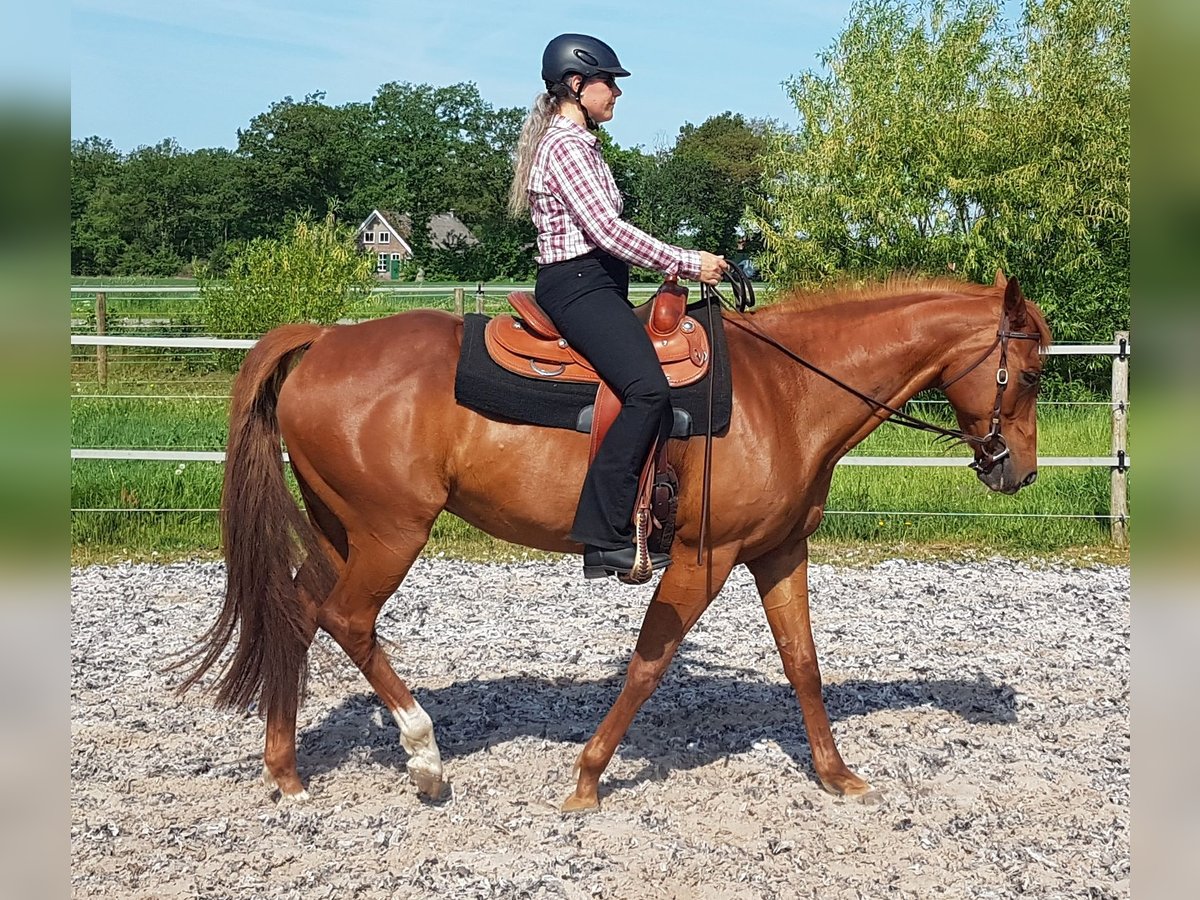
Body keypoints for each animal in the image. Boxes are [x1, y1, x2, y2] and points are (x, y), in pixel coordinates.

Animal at [177, 270, 1050, 811]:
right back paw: (423, 758)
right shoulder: (705, 558)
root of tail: (325, 338)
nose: (1018, 470)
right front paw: (588, 779)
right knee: (348, 620)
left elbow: (803, 663)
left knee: (297, 612)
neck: (789, 391)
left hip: (340, 528)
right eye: (1034, 372)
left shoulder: (779, 552)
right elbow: (649, 663)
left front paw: (837, 776)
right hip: (392, 532)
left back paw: (287, 771)